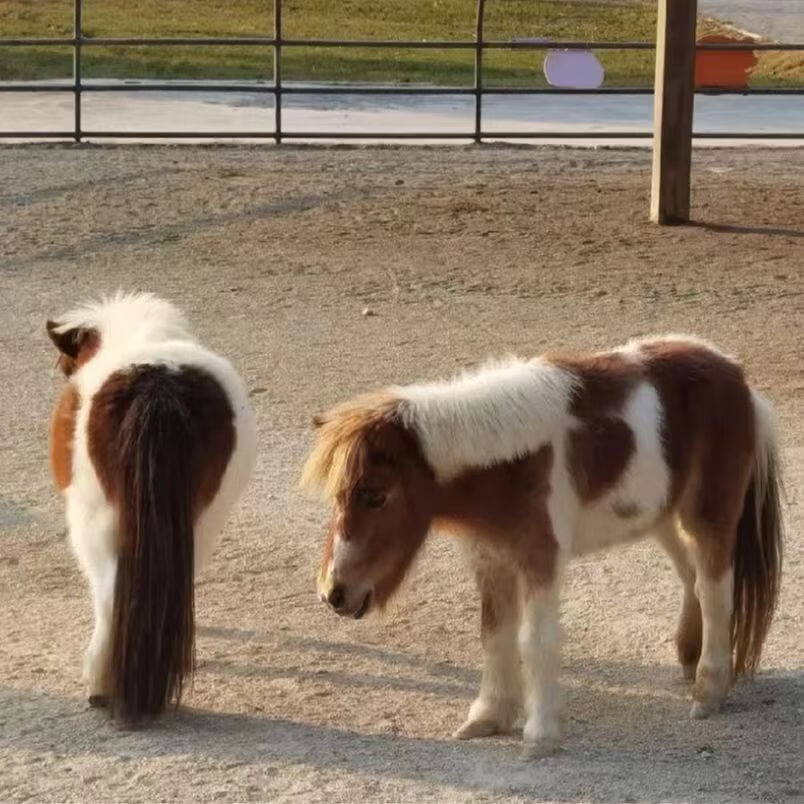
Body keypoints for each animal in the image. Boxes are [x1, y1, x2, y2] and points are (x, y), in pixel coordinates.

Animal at [301, 335, 783, 757]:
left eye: (376, 495)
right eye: (338, 496)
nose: (334, 593)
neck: (510, 462)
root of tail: (736, 376)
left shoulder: (539, 560)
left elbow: (535, 640)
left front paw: (540, 736)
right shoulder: (491, 561)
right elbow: (494, 635)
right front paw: (488, 717)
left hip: (709, 517)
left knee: (715, 591)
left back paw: (707, 691)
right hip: (663, 516)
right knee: (691, 577)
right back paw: (688, 656)